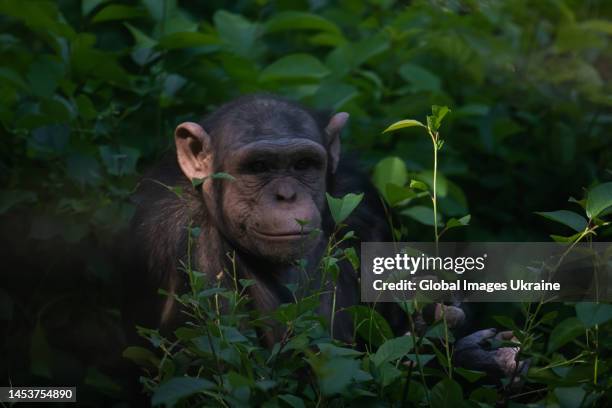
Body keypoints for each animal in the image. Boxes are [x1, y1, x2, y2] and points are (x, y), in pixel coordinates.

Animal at [124, 94, 520, 380]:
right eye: (258, 167)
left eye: (302, 164)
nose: (286, 195)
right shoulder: (182, 243)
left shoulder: (360, 197)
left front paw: (445, 319)